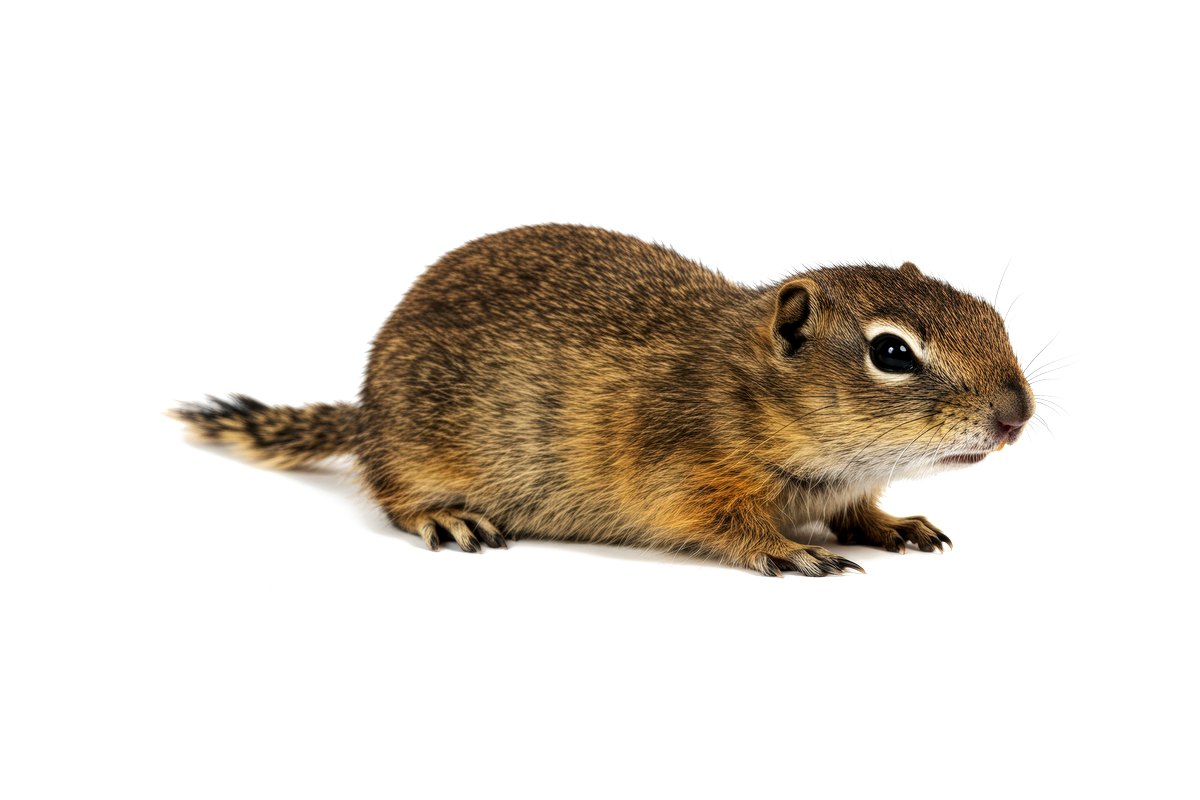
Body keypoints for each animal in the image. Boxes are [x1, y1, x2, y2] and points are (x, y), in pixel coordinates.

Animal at [175, 224, 1035, 576]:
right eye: (891, 353)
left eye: (989, 315)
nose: (1018, 417)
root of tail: (366, 412)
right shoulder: (685, 477)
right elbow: (726, 524)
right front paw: (791, 548)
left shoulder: (850, 486)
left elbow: (862, 513)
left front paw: (898, 527)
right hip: (414, 455)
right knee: (391, 495)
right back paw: (446, 517)